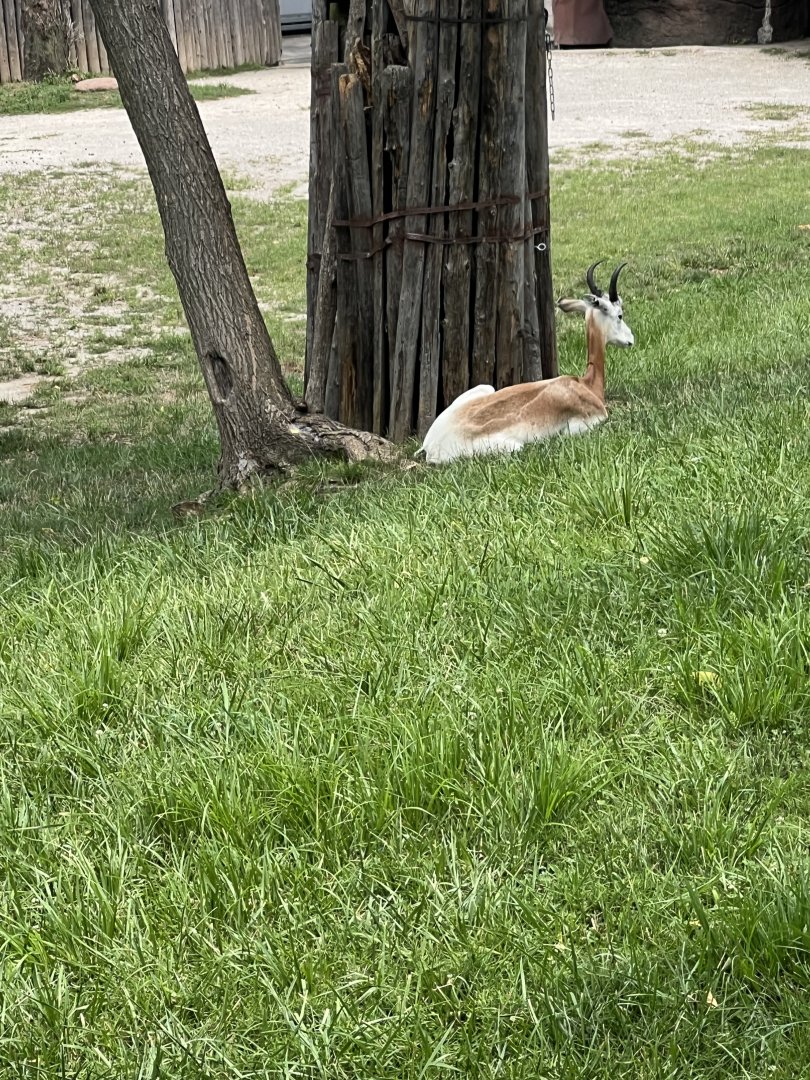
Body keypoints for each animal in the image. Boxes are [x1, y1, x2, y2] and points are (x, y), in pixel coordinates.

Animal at [419, 261, 634, 464]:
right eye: (620, 314)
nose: (631, 339)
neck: (585, 384)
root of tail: (431, 446)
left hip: (485, 387)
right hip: (514, 447)